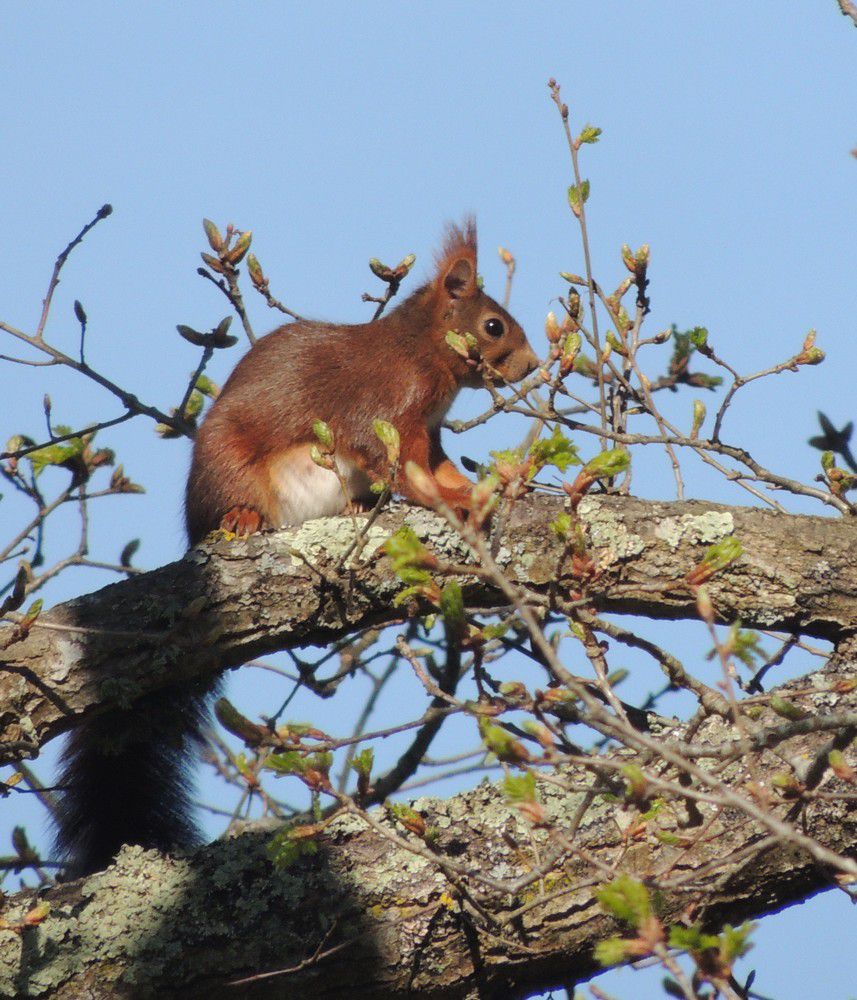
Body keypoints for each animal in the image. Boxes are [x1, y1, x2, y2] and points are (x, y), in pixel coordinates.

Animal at [186, 219, 536, 544]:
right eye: (494, 326)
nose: (532, 364)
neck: (420, 349)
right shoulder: (388, 405)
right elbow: (407, 472)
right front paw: (454, 498)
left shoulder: (429, 427)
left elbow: (441, 468)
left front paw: (489, 487)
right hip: (223, 461)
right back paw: (242, 515)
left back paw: (357, 505)